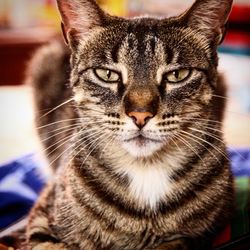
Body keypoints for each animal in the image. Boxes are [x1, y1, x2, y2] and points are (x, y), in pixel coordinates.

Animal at [26, 0, 234, 249]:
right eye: (107, 74)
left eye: (177, 75)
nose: (140, 115)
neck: (146, 170)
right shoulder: (42, 218)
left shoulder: (208, 228)